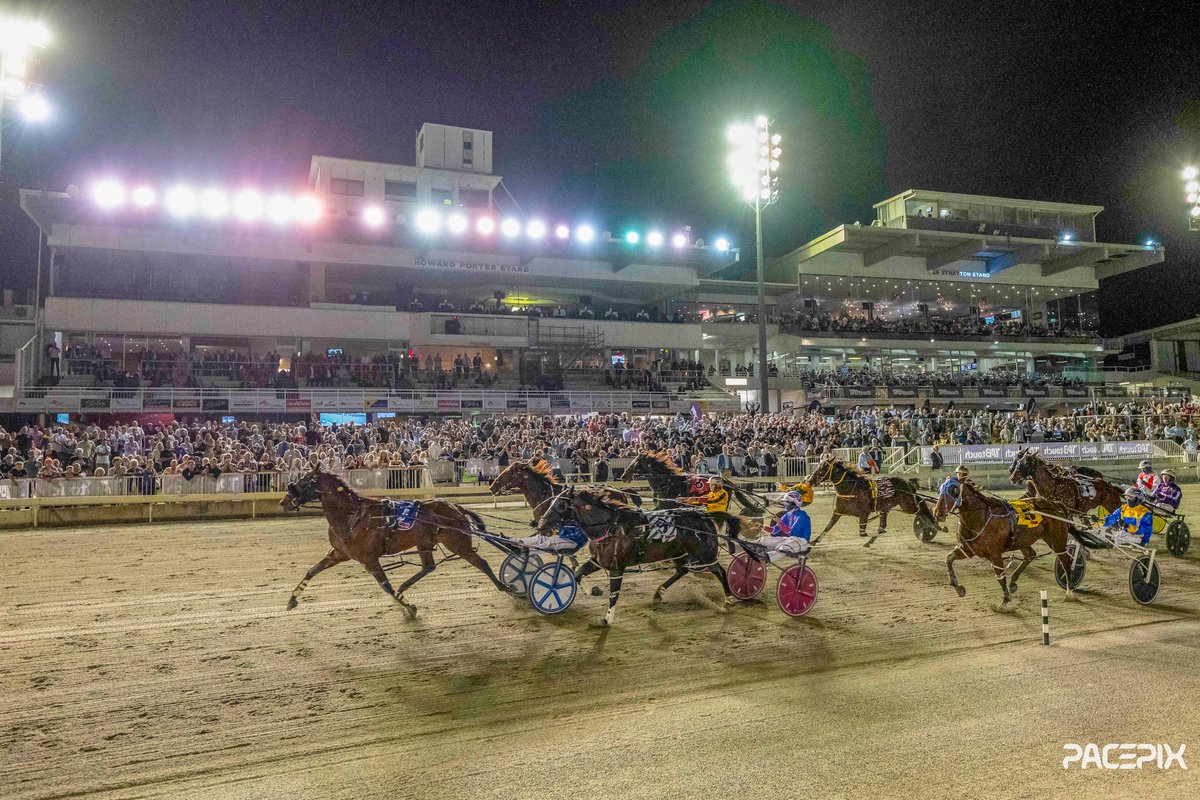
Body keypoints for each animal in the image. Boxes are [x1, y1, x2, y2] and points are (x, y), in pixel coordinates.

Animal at [280, 465, 511, 618]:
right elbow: (312, 570)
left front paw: (408, 608)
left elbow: (386, 586)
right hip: (425, 543)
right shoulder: (339, 553)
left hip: (457, 543)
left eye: (303, 481)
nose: (284, 501)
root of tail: (456, 507)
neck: (352, 516)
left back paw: (505, 588)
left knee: (481, 563)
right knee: (429, 567)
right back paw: (404, 586)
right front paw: (292, 599)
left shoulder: (369, 559)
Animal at [537, 484, 744, 628]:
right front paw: (592, 591)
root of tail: (705, 516)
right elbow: (578, 573)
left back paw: (728, 601)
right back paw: (659, 592)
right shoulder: (597, 561)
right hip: (678, 552)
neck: (610, 527)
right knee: (682, 570)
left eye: (561, 504)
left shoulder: (617, 568)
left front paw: (606, 619)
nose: (541, 525)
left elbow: (613, 595)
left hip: (705, 554)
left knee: (720, 571)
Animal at [806, 453, 936, 546]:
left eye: (822, 468)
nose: (809, 480)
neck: (852, 488)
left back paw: (930, 526)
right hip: (888, 505)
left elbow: (862, 533)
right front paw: (815, 540)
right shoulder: (837, 511)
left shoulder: (864, 513)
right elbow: (829, 526)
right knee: (885, 521)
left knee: (921, 509)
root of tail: (907, 483)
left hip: (908, 505)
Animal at [926, 474, 1080, 606]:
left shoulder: (995, 554)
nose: (938, 513)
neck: (981, 518)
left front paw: (1004, 602)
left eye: (954, 489)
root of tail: (1055, 505)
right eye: (940, 489)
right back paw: (1013, 582)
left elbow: (1000, 576)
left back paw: (1069, 591)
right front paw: (959, 588)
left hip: (1056, 540)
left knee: (1065, 561)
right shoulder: (967, 550)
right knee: (1030, 555)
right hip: (1022, 540)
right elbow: (949, 559)